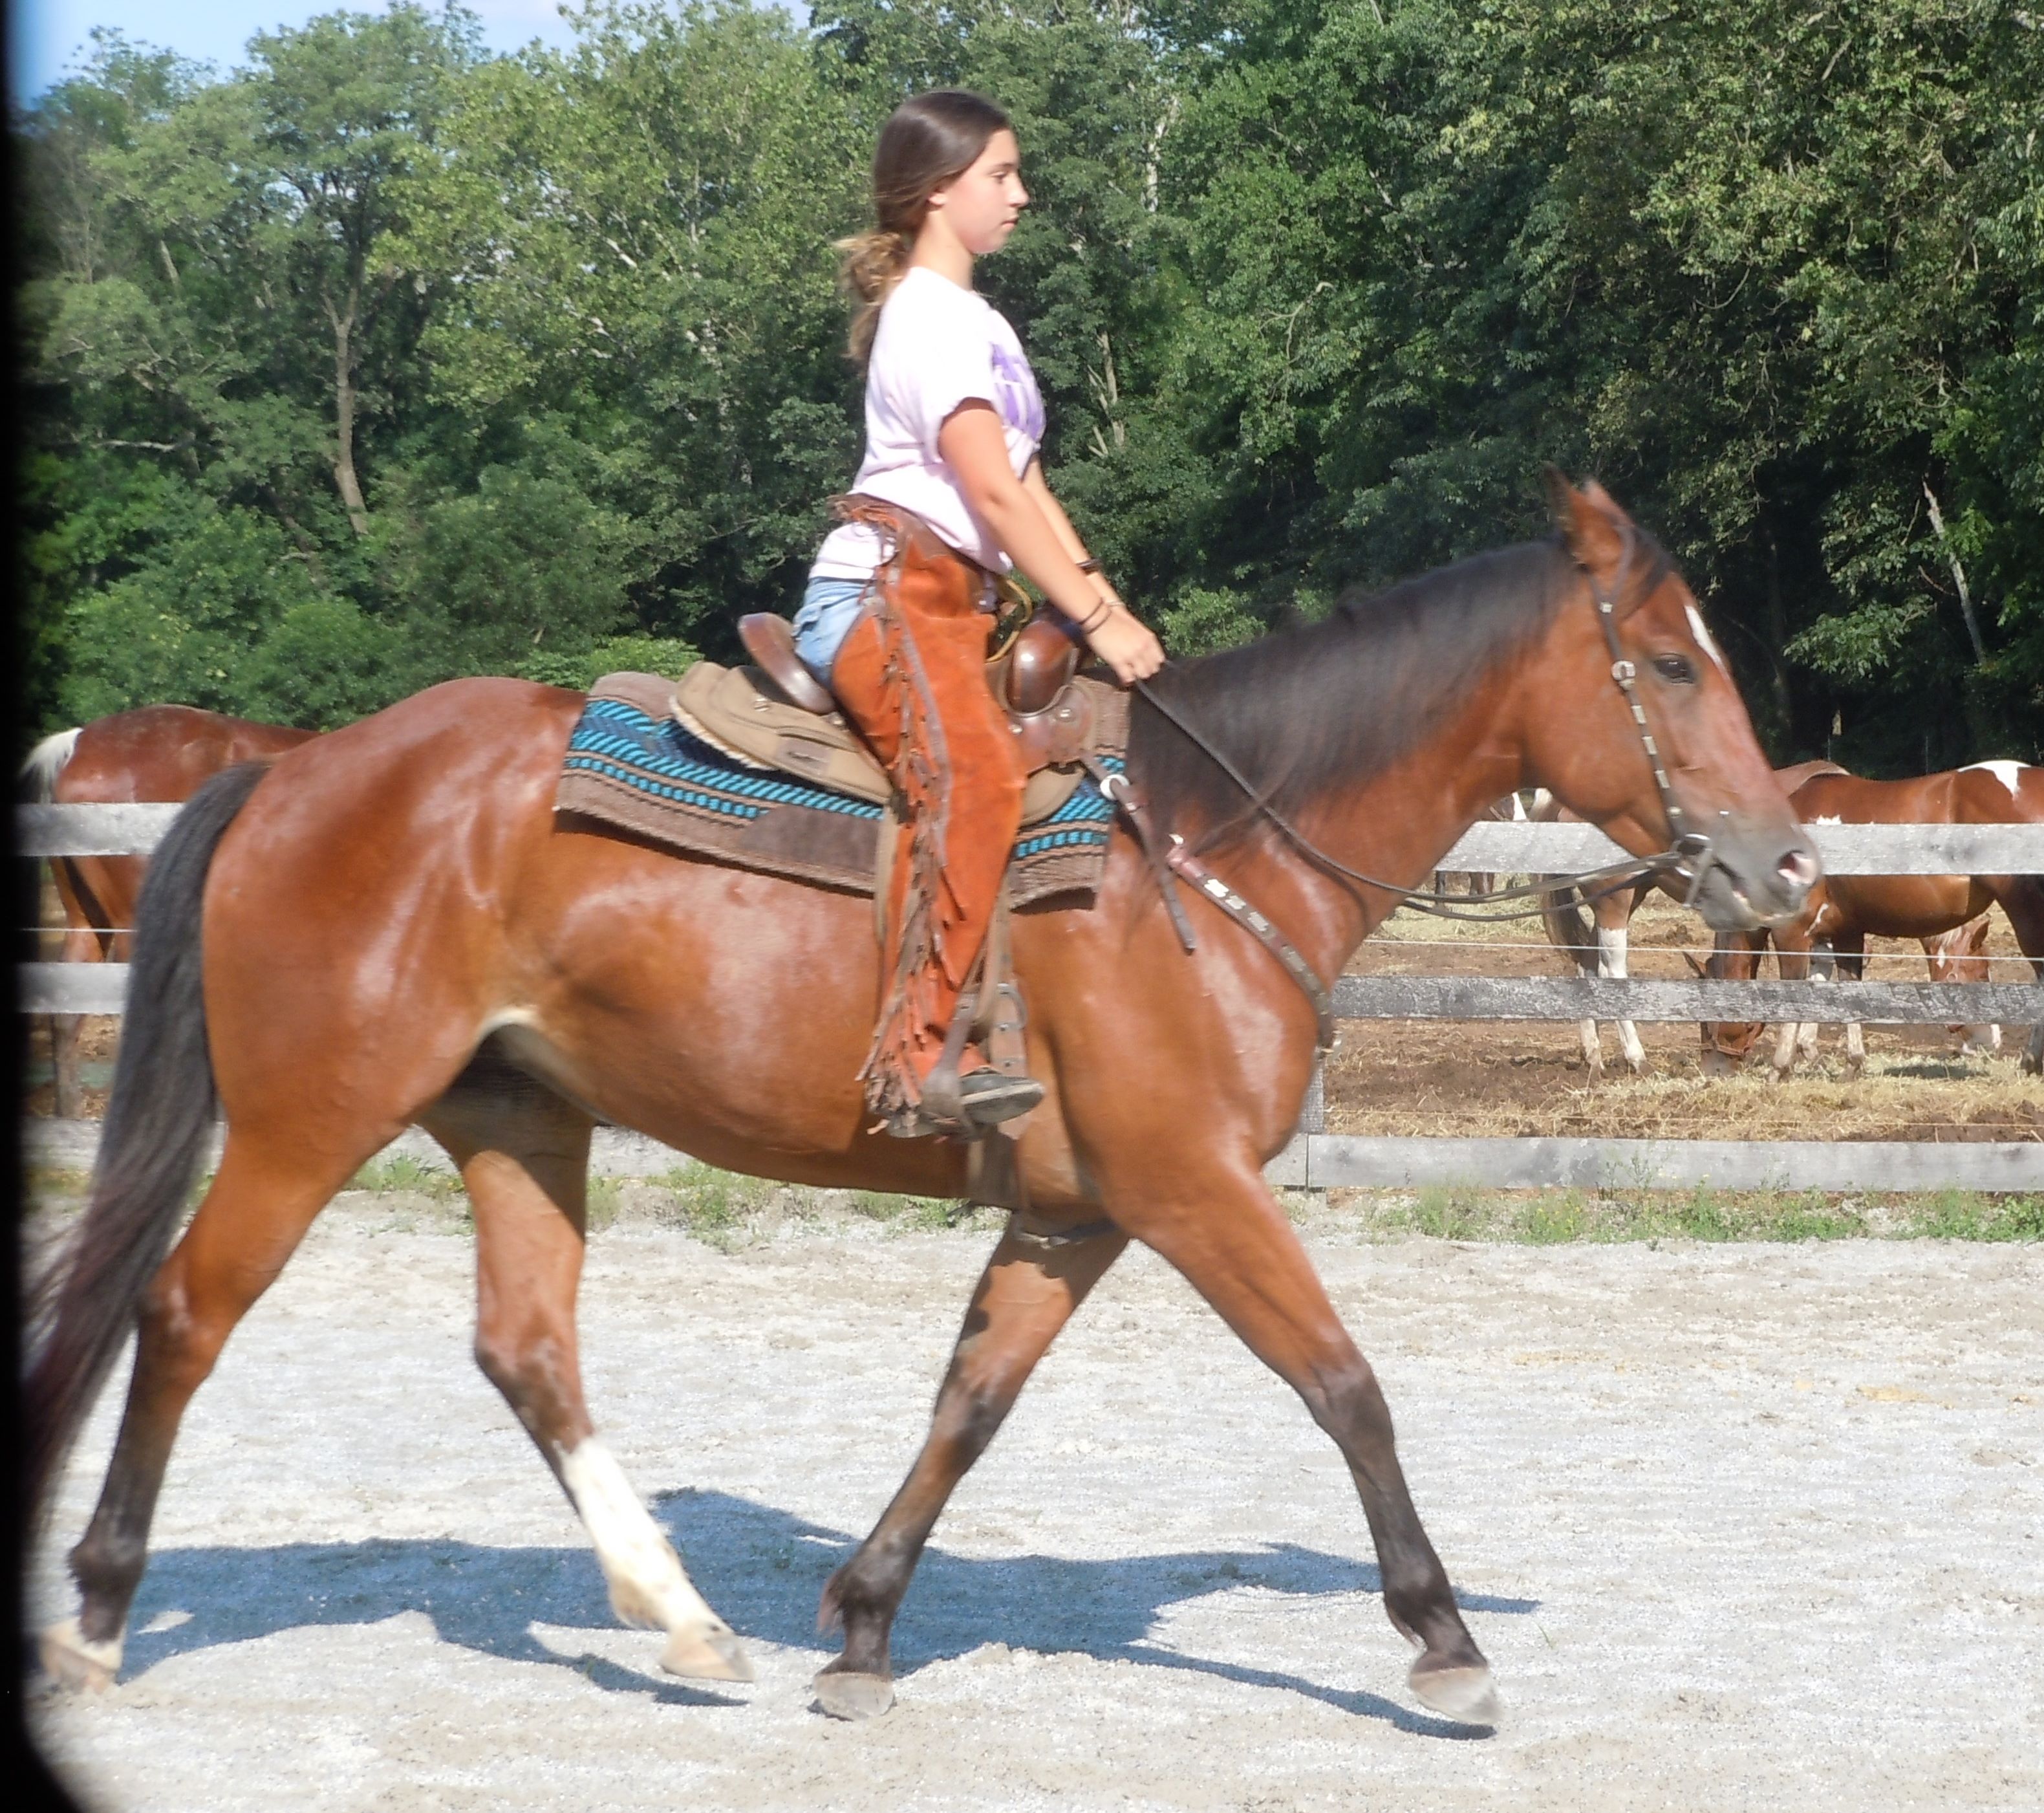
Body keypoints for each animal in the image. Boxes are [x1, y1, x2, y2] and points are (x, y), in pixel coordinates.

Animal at [1537, 760, 1844, 1075]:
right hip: (1614, 903)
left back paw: (1594, 1055)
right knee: (1612, 970)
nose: (1713, 1063)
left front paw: (1808, 1047)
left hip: (1625, 897)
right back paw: (1637, 1057)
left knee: (1586, 962)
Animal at [1702, 764, 2044, 1076]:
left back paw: (2030, 1062)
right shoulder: (1845, 932)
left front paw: (1780, 1067)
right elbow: (1845, 988)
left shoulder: (1793, 933)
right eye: (1981, 971)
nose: (1715, 1068)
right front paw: (1853, 1063)